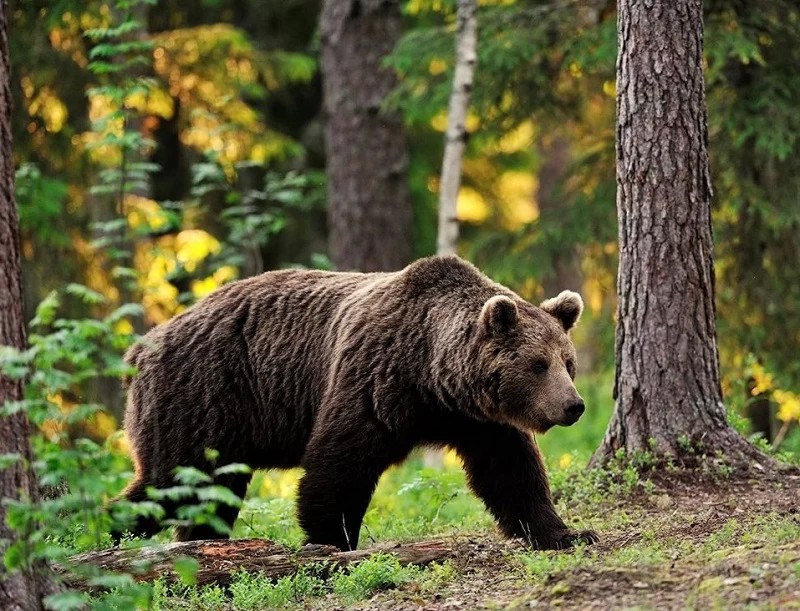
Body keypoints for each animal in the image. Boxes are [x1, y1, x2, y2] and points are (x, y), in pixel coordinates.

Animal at [117, 256, 592, 552]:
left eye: (568, 362)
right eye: (537, 365)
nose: (574, 405)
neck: (432, 375)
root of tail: (143, 346)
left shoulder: (478, 420)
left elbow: (511, 473)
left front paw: (565, 534)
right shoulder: (374, 380)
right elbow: (340, 463)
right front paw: (331, 540)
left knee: (208, 492)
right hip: (203, 396)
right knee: (171, 481)